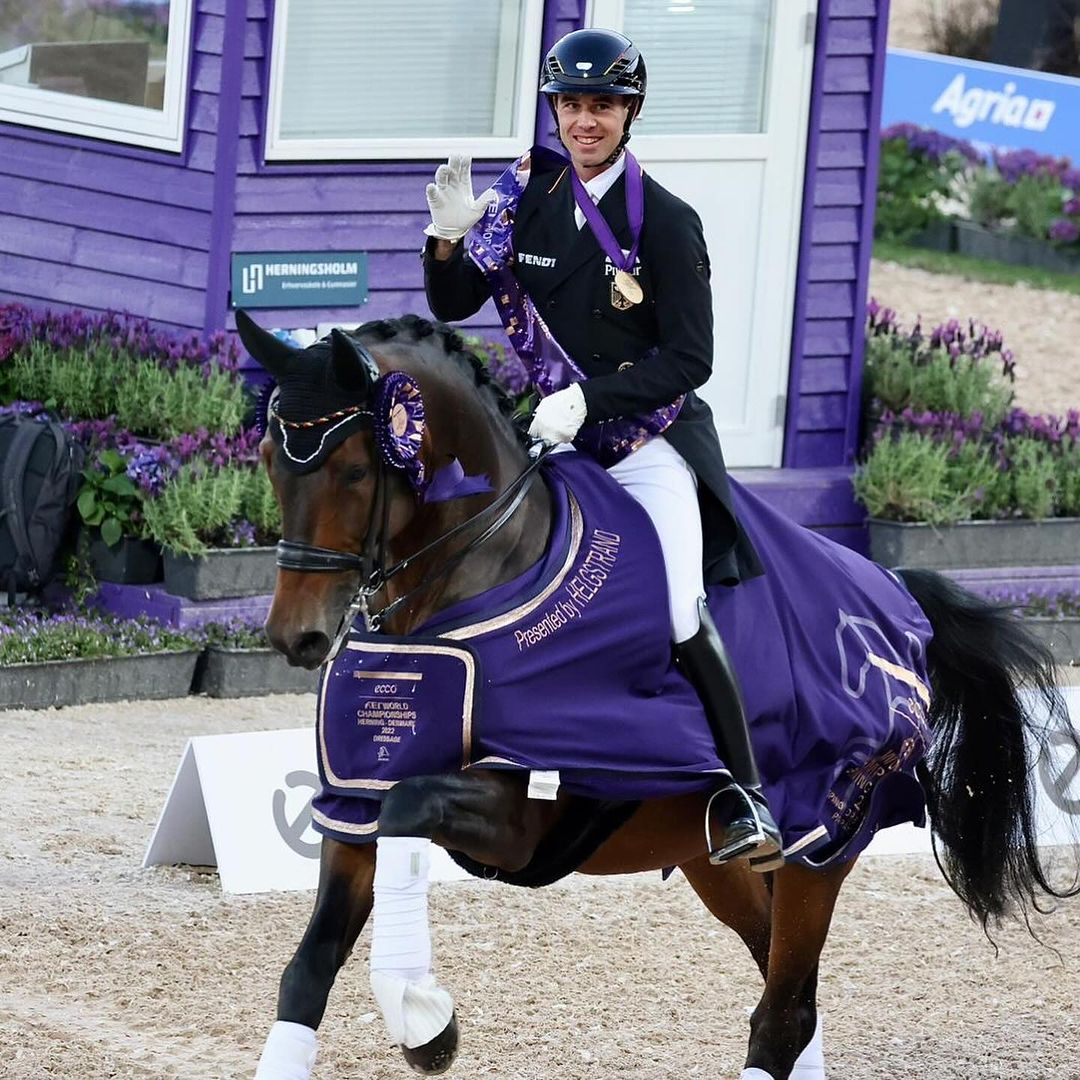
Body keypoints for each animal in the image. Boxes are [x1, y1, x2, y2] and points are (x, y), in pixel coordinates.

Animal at [236, 309, 1079, 1080]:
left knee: (783, 1013)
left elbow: (411, 806)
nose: (295, 637)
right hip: (714, 859)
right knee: (778, 980)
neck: (476, 581)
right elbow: (307, 969)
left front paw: (424, 1020)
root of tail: (897, 599)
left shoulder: (524, 816)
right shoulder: (354, 799)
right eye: (272, 460)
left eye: (353, 471)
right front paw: (414, 1014)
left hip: (824, 841)